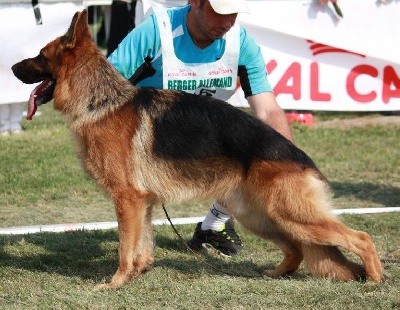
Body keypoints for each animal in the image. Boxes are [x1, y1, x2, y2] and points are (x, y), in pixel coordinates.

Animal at [10, 10, 382, 290]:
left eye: (40, 56)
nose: (11, 68)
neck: (101, 101)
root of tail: (301, 158)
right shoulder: (142, 203)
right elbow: (142, 243)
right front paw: (139, 272)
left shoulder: (127, 200)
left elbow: (124, 248)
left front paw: (116, 283)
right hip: (261, 216)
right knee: (296, 250)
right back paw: (277, 273)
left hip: (290, 214)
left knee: (361, 237)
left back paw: (376, 279)